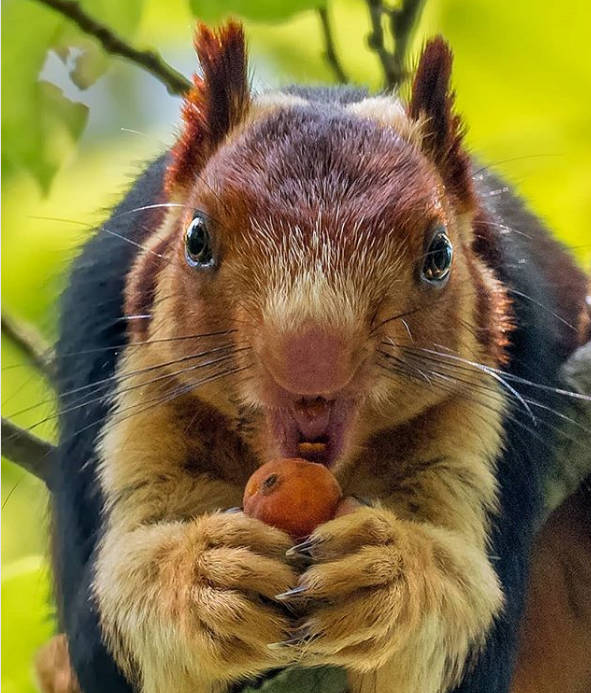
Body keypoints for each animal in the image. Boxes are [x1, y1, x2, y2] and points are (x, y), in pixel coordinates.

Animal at [47, 20, 591, 692]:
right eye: (196, 238)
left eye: (440, 254)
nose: (312, 359)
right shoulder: (119, 368)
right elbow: (113, 624)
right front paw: (205, 579)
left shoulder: (504, 397)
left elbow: (465, 624)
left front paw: (386, 575)